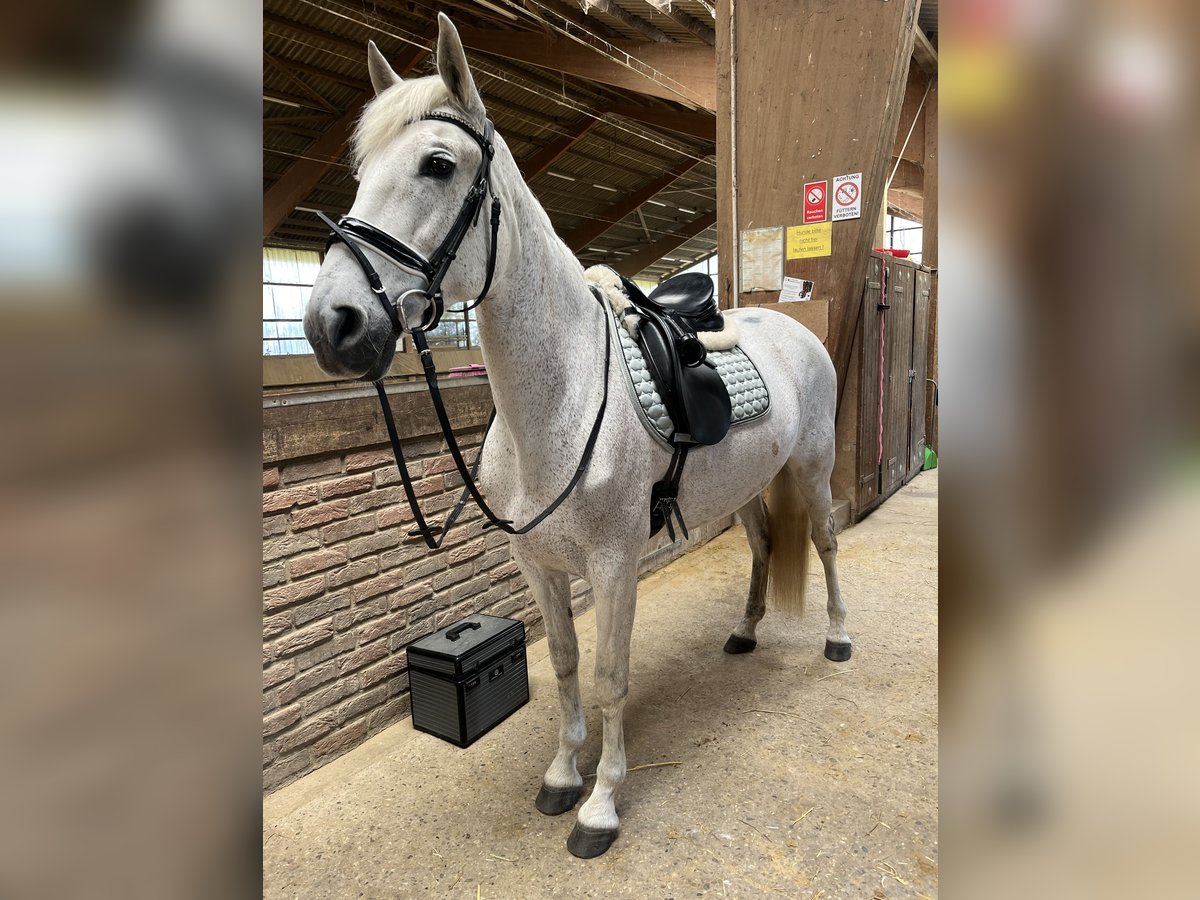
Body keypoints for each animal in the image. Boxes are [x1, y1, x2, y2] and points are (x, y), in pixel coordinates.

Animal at [304, 14, 849, 859]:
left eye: (438, 164)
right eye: (360, 169)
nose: (333, 324)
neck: (558, 403)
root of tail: (786, 323)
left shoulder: (614, 564)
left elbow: (609, 676)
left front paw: (601, 805)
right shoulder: (539, 564)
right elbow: (562, 665)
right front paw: (564, 775)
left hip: (815, 469)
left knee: (823, 541)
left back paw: (837, 639)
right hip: (748, 483)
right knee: (763, 545)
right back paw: (744, 631)